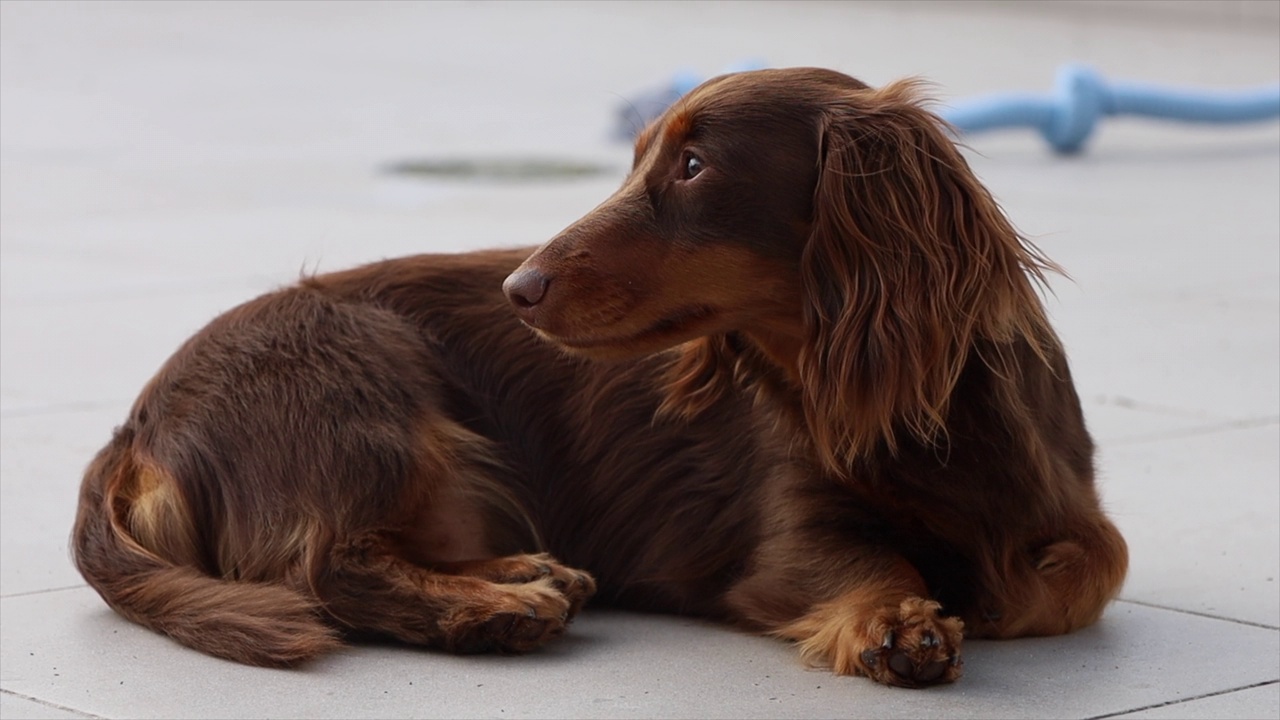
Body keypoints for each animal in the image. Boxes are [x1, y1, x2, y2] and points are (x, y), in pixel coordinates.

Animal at [72, 68, 1131, 681]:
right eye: (636, 158)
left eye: (695, 165)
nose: (518, 289)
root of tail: (135, 430)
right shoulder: (785, 537)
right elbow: (867, 562)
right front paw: (900, 617)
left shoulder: (1076, 517)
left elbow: (1082, 567)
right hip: (372, 384)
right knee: (324, 565)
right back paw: (499, 610)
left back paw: (524, 573)